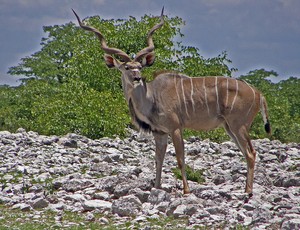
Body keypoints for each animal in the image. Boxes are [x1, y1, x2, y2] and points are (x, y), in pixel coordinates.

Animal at [72, 9, 270, 196]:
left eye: (140, 67)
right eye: (127, 67)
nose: (137, 78)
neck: (151, 97)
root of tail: (258, 93)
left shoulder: (175, 128)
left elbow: (180, 159)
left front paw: (186, 190)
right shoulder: (159, 133)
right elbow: (158, 159)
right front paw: (157, 187)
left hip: (238, 125)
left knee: (251, 153)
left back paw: (248, 191)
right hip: (230, 127)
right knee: (246, 152)